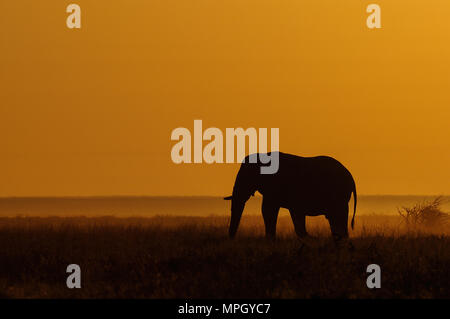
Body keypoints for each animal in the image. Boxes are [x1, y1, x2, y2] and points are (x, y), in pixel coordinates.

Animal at [223, 152, 356, 240]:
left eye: (246, 176)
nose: (231, 239)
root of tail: (351, 177)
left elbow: (268, 209)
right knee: (334, 218)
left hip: (339, 194)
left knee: (338, 215)